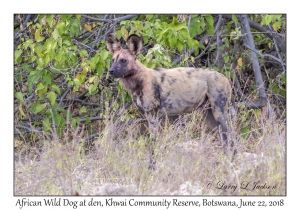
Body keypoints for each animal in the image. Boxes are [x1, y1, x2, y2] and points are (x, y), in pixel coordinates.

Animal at [106, 32, 233, 167]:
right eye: (113, 60)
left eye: (123, 61)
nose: (111, 71)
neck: (138, 80)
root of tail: (224, 77)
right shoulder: (146, 116)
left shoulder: (153, 116)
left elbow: (153, 144)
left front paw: (152, 167)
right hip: (209, 116)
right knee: (224, 137)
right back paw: (226, 160)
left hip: (219, 113)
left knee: (231, 134)